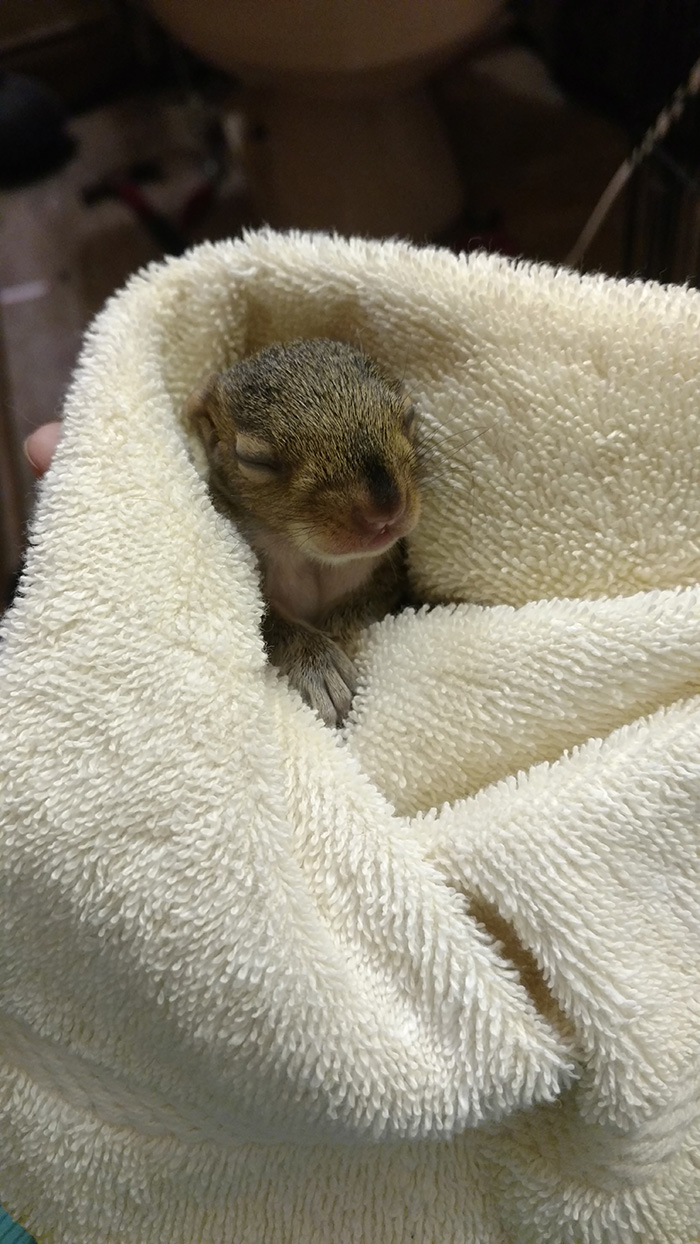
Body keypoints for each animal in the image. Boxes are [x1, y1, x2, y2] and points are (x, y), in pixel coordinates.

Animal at [186, 340, 425, 726]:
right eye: (255, 461)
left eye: (409, 415)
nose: (384, 510)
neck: (310, 557)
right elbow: (268, 624)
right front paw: (319, 666)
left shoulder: (385, 575)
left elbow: (361, 606)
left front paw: (338, 644)